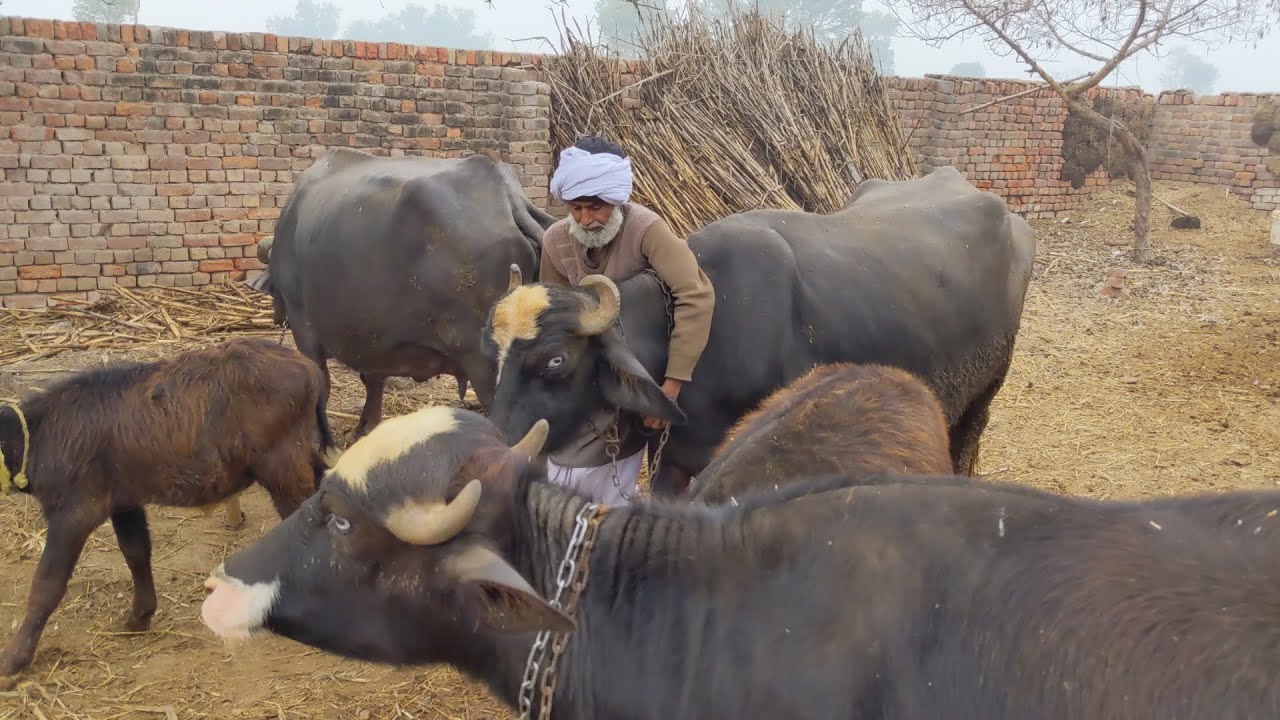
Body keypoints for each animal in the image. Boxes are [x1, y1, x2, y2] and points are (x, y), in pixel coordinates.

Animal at [250, 147, 555, 439]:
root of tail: (507, 198)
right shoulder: (374, 337)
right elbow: (374, 380)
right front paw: (364, 427)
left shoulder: (303, 323)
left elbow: (321, 381)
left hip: (483, 363)